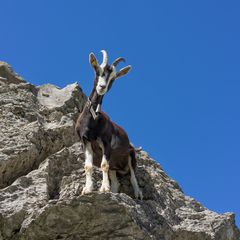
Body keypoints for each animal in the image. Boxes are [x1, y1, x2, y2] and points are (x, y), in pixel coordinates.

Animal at [75, 50, 142, 199]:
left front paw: (104, 188)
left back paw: (138, 194)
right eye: (97, 70)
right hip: (114, 166)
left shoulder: (105, 142)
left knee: (133, 176)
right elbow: (88, 166)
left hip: (131, 156)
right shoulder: (86, 141)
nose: (102, 87)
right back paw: (114, 191)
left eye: (113, 78)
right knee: (116, 181)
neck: (92, 121)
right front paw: (87, 189)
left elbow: (103, 165)